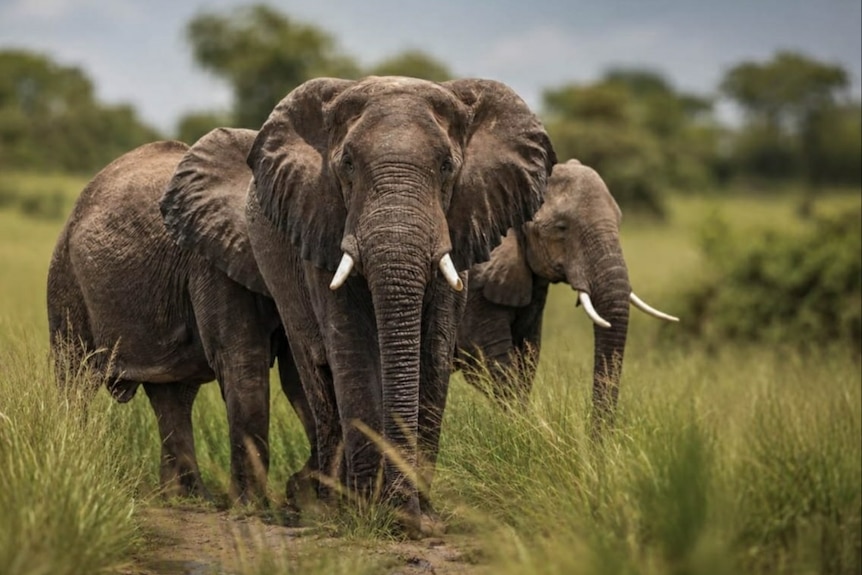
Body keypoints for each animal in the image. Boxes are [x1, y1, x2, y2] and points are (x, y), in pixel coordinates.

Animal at [46, 134, 305, 504]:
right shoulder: (211, 263)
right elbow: (244, 362)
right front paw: (253, 506)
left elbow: (300, 372)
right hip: (66, 277)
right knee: (75, 378)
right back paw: (77, 467)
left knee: (174, 395)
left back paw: (186, 497)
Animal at [160, 76, 556, 535]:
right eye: (347, 164)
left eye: (446, 167)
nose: (406, 517)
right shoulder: (321, 226)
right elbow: (353, 353)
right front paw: (372, 513)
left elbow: (434, 354)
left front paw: (422, 518)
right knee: (317, 372)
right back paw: (330, 504)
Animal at [455, 159, 678, 424]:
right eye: (561, 228)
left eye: (620, 221)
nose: (596, 436)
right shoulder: (474, 284)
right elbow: (487, 360)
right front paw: (523, 426)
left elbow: (528, 355)